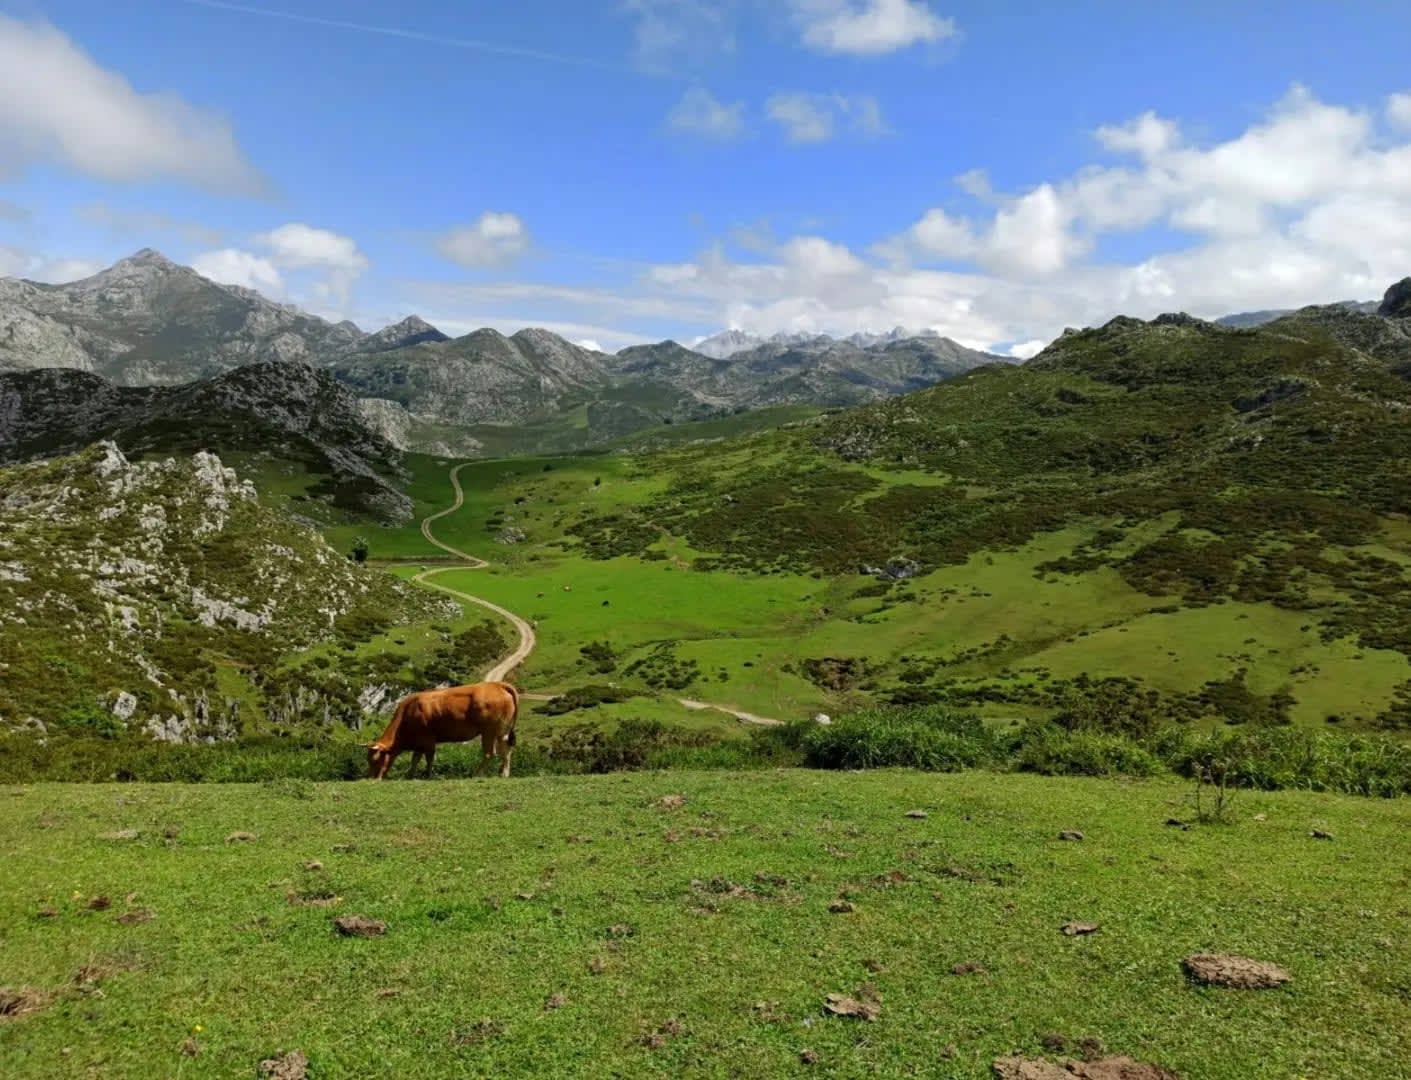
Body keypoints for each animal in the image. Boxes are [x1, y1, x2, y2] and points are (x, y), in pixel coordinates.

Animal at [366, 681, 519, 780]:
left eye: (375, 760)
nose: (373, 778)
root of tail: (496, 684)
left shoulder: (427, 739)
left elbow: (429, 758)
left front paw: (428, 775)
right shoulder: (419, 743)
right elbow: (415, 759)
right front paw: (409, 775)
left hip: (489, 731)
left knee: (489, 753)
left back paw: (477, 774)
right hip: (503, 730)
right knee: (506, 750)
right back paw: (504, 774)